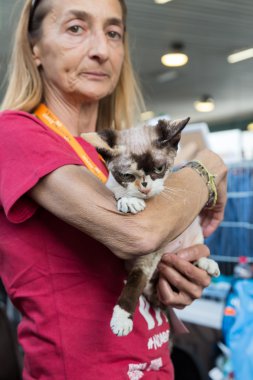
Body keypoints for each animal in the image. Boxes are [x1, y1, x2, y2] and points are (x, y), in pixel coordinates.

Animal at [81, 118, 219, 336]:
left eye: (159, 169)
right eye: (127, 175)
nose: (145, 187)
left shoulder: (149, 257)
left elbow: (135, 282)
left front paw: (121, 319)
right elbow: (135, 283)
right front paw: (129, 200)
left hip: (195, 233)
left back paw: (208, 264)